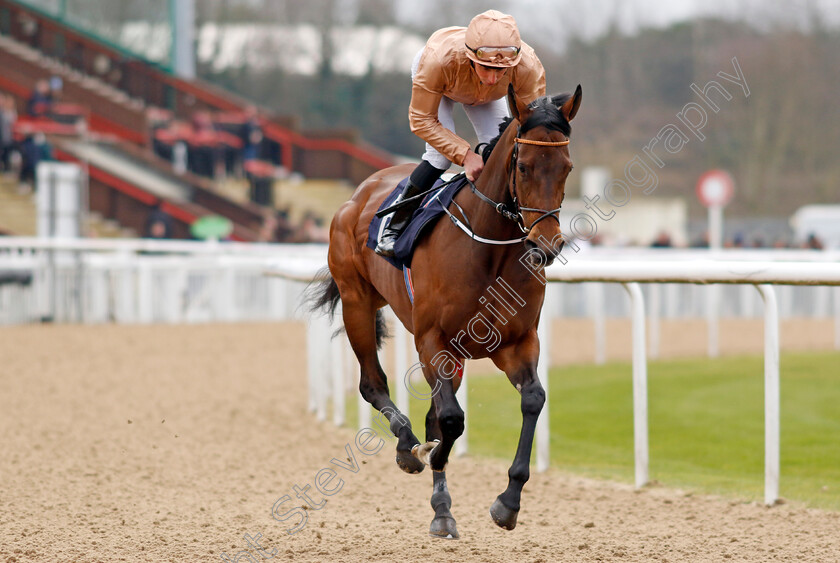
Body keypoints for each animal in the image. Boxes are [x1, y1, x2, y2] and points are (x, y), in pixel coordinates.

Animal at [312, 86, 580, 540]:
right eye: (523, 166)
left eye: (566, 168)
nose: (545, 245)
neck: (489, 250)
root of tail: (360, 191)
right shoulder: (432, 341)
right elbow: (451, 419)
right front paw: (431, 455)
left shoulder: (517, 342)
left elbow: (532, 400)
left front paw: (508, 502)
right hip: (357, 302)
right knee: (372, 383)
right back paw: (408, 450)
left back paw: (441, 505)